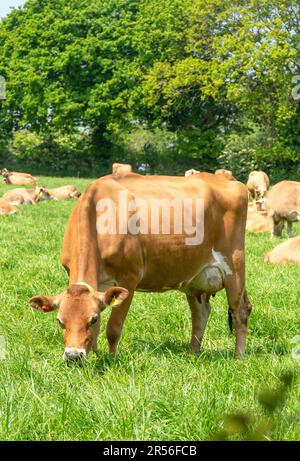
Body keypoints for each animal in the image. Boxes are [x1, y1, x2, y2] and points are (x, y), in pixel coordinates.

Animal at [29, 171, 251, 362]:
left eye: (92, 319)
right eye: (60, 321)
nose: (73, 356)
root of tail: (224, 178)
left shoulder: (129, 278)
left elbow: (113, 328)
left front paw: (110, 360)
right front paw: (93, 354)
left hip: (234, 266)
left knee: (240, 311)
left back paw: (238, 357)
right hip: (195, 278)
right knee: (201, 314)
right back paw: (192, 354)